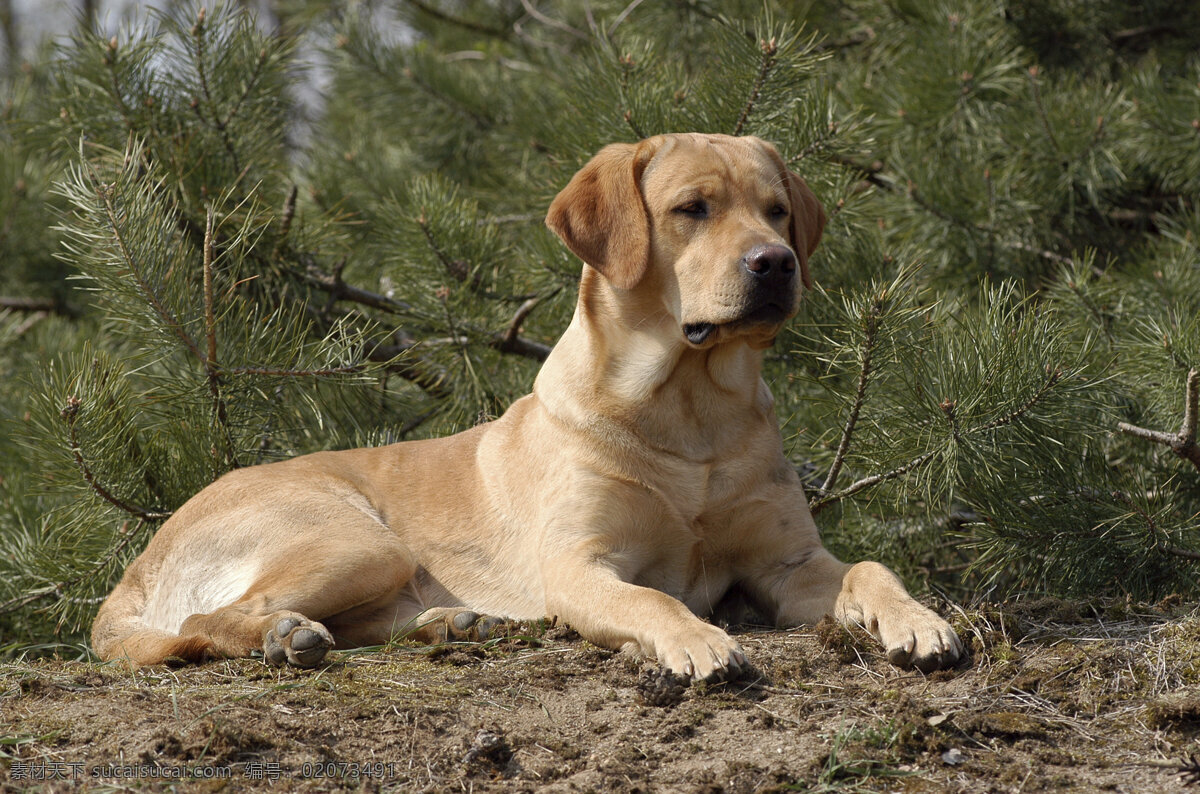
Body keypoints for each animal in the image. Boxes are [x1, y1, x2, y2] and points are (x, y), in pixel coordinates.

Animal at [91, 133, 964, 681]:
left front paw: (919, 619)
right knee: (207, 622)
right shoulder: (581, 564)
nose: (776, 263)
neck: (689, 414)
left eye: (777, 210)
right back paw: (285, 636)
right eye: (693, 208)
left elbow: (873, 568)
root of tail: (138, 566)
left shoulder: (788, 564)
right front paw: (697, 640)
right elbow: (650, 595)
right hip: (354, 539)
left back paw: (452, 623)